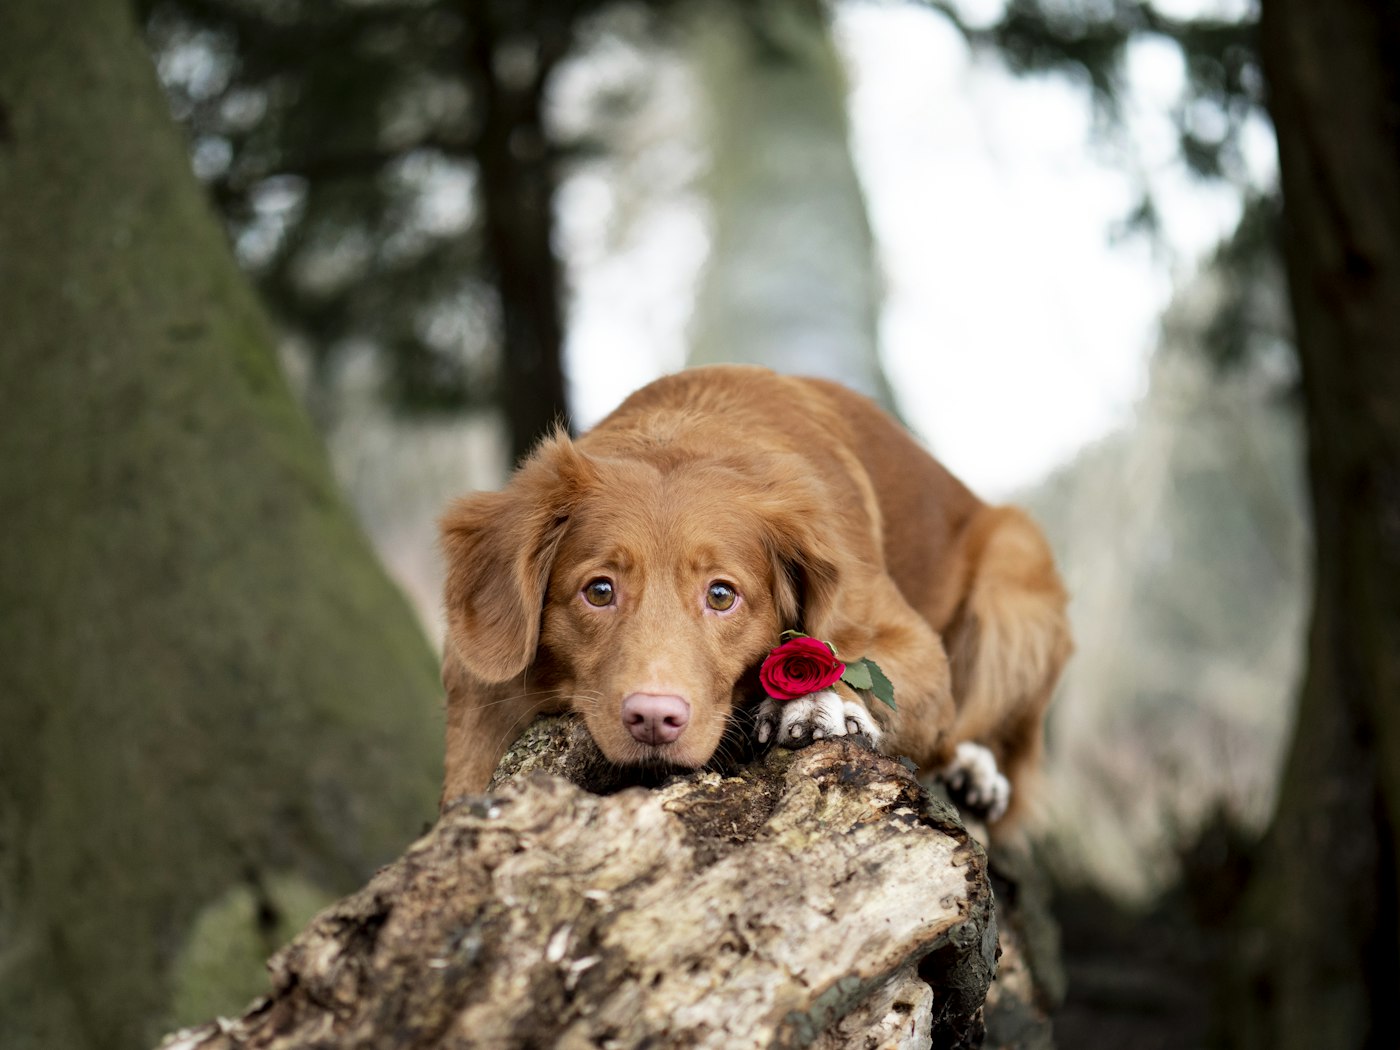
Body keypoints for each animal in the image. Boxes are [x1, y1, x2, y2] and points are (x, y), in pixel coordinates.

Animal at [436, 366, 1069, 828]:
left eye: (721, 595)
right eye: (599, 591)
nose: (653, 718)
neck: (684, 430)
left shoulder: (915, 644)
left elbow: (855, 662)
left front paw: (818, 702)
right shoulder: (481, 680)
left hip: (1016, 571)